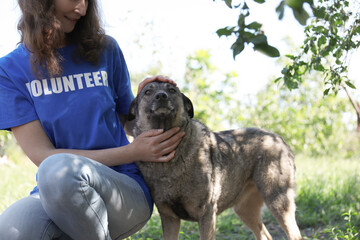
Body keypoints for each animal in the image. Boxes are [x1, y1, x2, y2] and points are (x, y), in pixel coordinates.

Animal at [128, 81, 302, 239]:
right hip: (245, 210)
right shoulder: (169, 218)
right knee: (265, 235)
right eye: (148, 92)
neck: (170, 158)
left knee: (295, 234)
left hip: (278, 202)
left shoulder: (206, 215)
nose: (161, 96)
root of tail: (278, 138)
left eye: (172, 90)